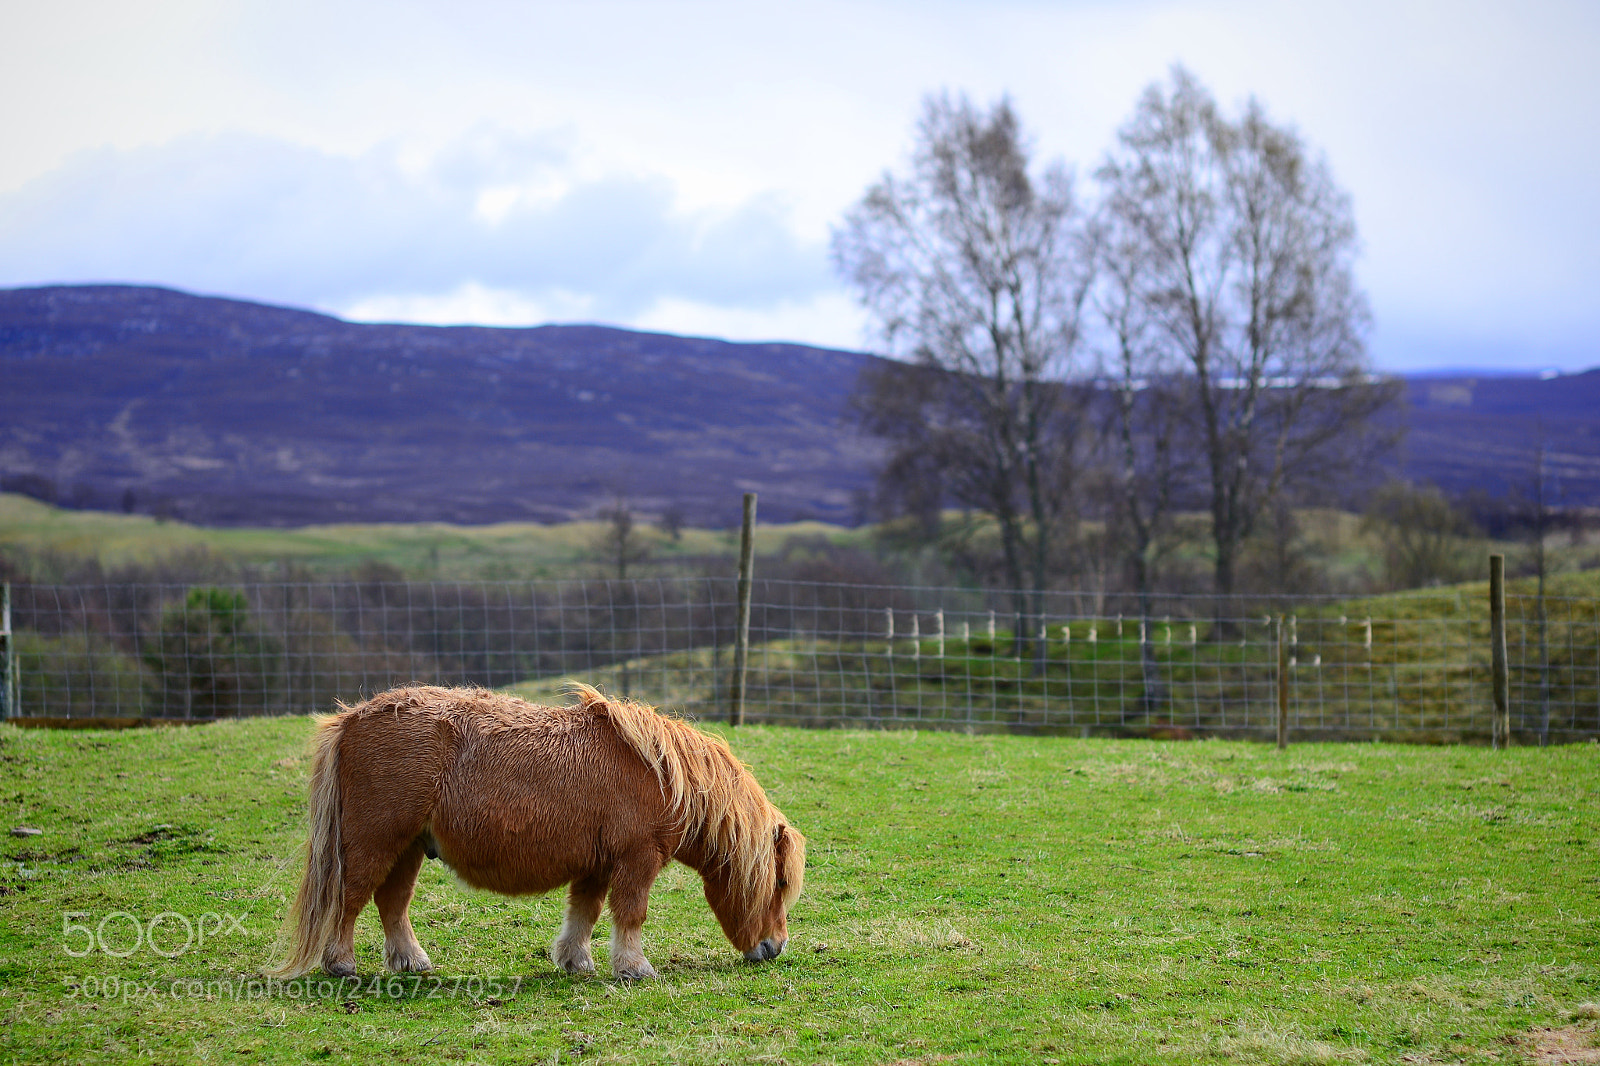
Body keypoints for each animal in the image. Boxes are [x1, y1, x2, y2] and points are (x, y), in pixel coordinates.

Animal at [268, 682, 805, 980]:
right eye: (779, 882)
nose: (774, 949)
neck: (663, 775)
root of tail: (352, 718)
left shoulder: (596, 865)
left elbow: (585, 913)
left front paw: (576, 962)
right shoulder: (636, 860)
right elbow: (630, 913)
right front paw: (634, 968)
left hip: (409, 848)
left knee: (392, 903)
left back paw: (412, 961)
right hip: (376, 842)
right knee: (351, 897)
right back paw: (341, 963)